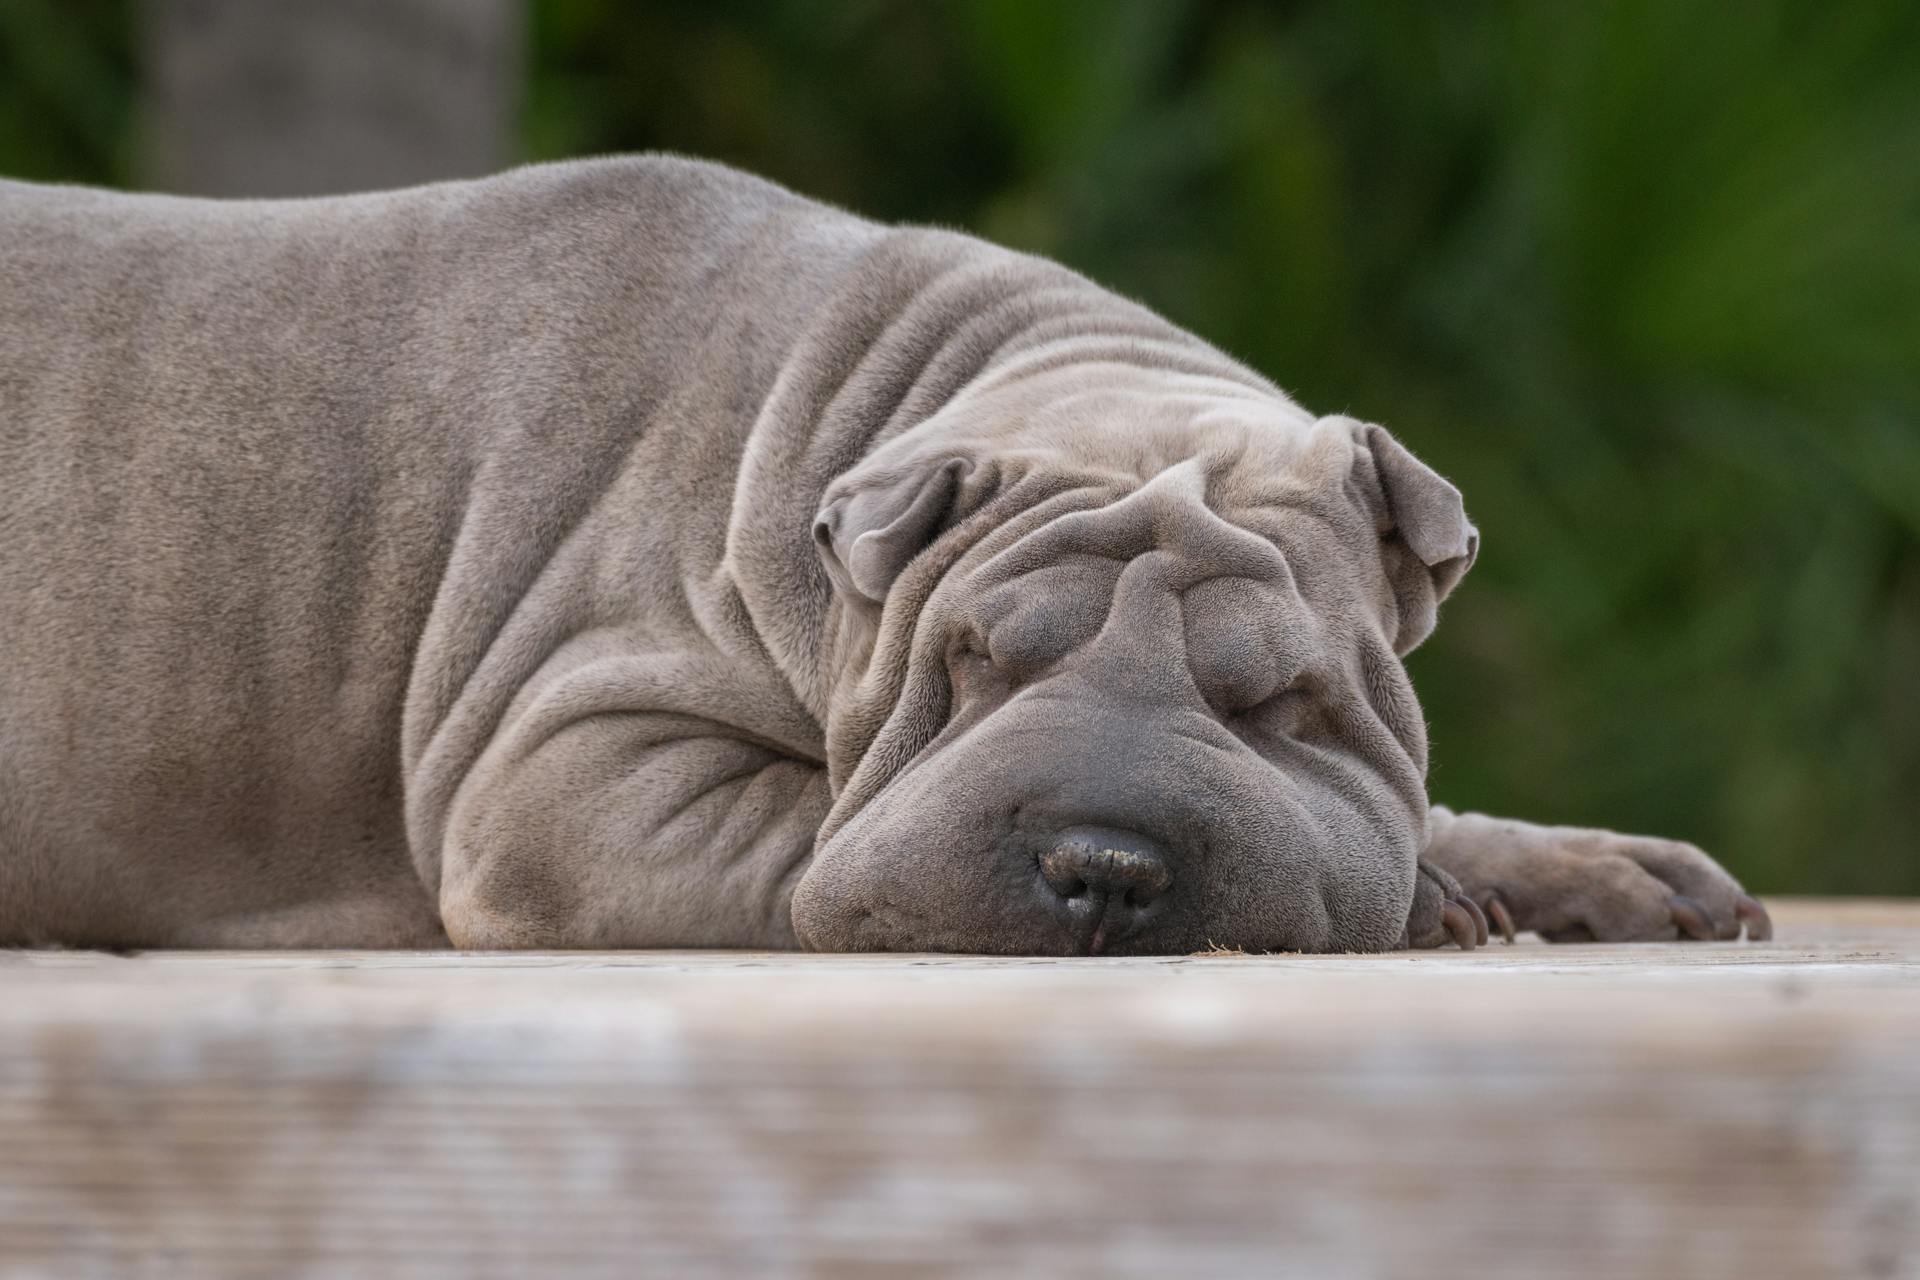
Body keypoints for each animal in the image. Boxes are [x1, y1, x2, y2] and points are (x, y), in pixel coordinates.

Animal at [0, 157, 1766, 951]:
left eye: (1282, 706)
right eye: (972, 665)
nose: (1108, 869)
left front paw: (1578, 870)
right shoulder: (563, 769)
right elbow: (818, 826)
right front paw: (1436, 901)